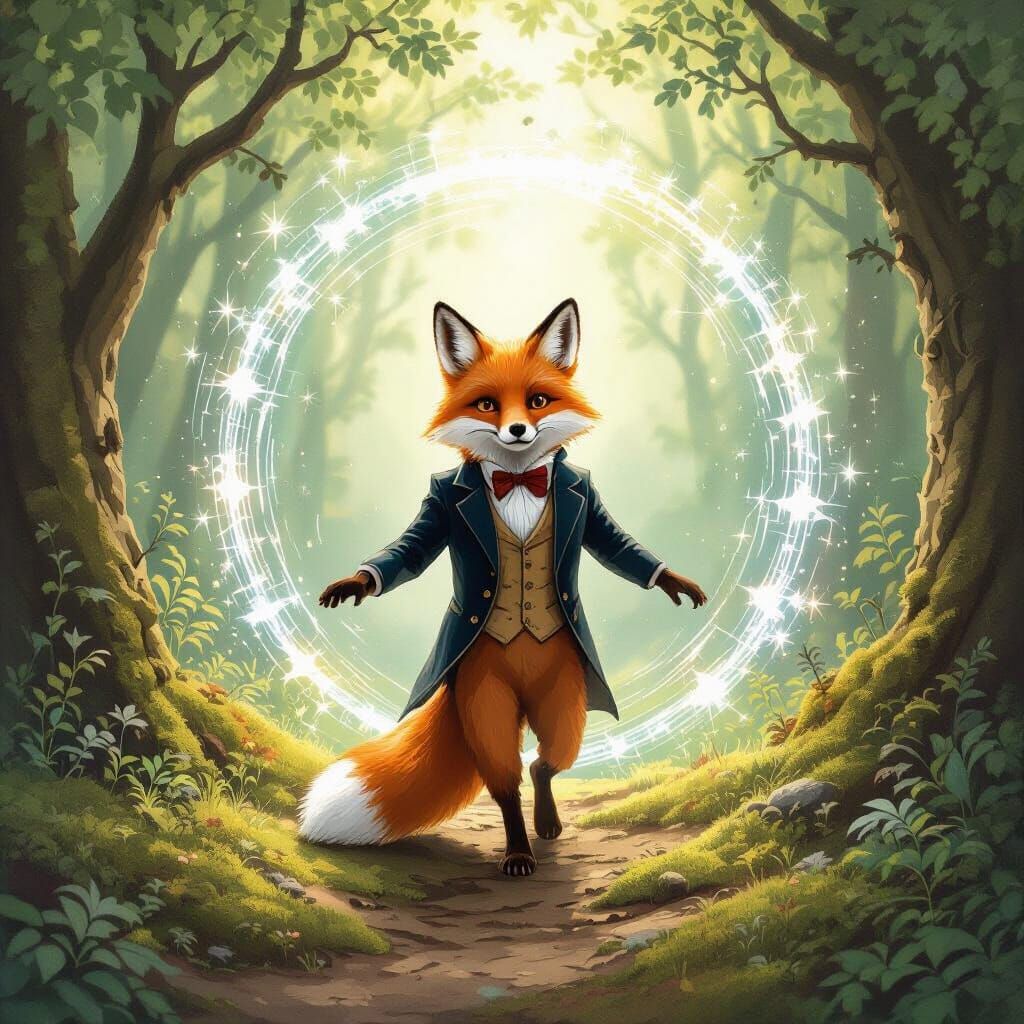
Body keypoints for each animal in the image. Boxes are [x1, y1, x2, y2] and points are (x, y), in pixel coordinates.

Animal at [299, 298, 707, 876]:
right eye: (488, 404)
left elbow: (619, 546)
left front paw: (671, 580)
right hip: (484, 700)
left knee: (546, 761)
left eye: (537, 401)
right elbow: (406, 551)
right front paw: (357, 582)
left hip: (564, 707)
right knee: (508, 777)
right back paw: (518, 849)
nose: (517, 430)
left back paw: (547, 822)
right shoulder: (437, 511)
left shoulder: (589, 504)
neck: (516, 481)